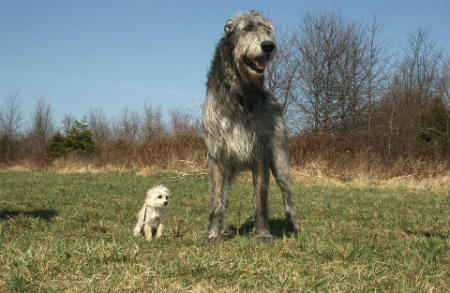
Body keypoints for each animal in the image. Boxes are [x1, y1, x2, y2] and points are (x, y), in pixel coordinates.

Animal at [203, 10, 298, 242]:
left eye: (267, 30)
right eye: (246, 28)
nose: (268, 46)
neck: (240, 91)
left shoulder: (260, 153)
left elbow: (260, 200)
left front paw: (263, 234)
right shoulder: (217, 155)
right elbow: (216, 201)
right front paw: (213, 234)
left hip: (280, 159)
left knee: (288, 195)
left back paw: (292, 227)